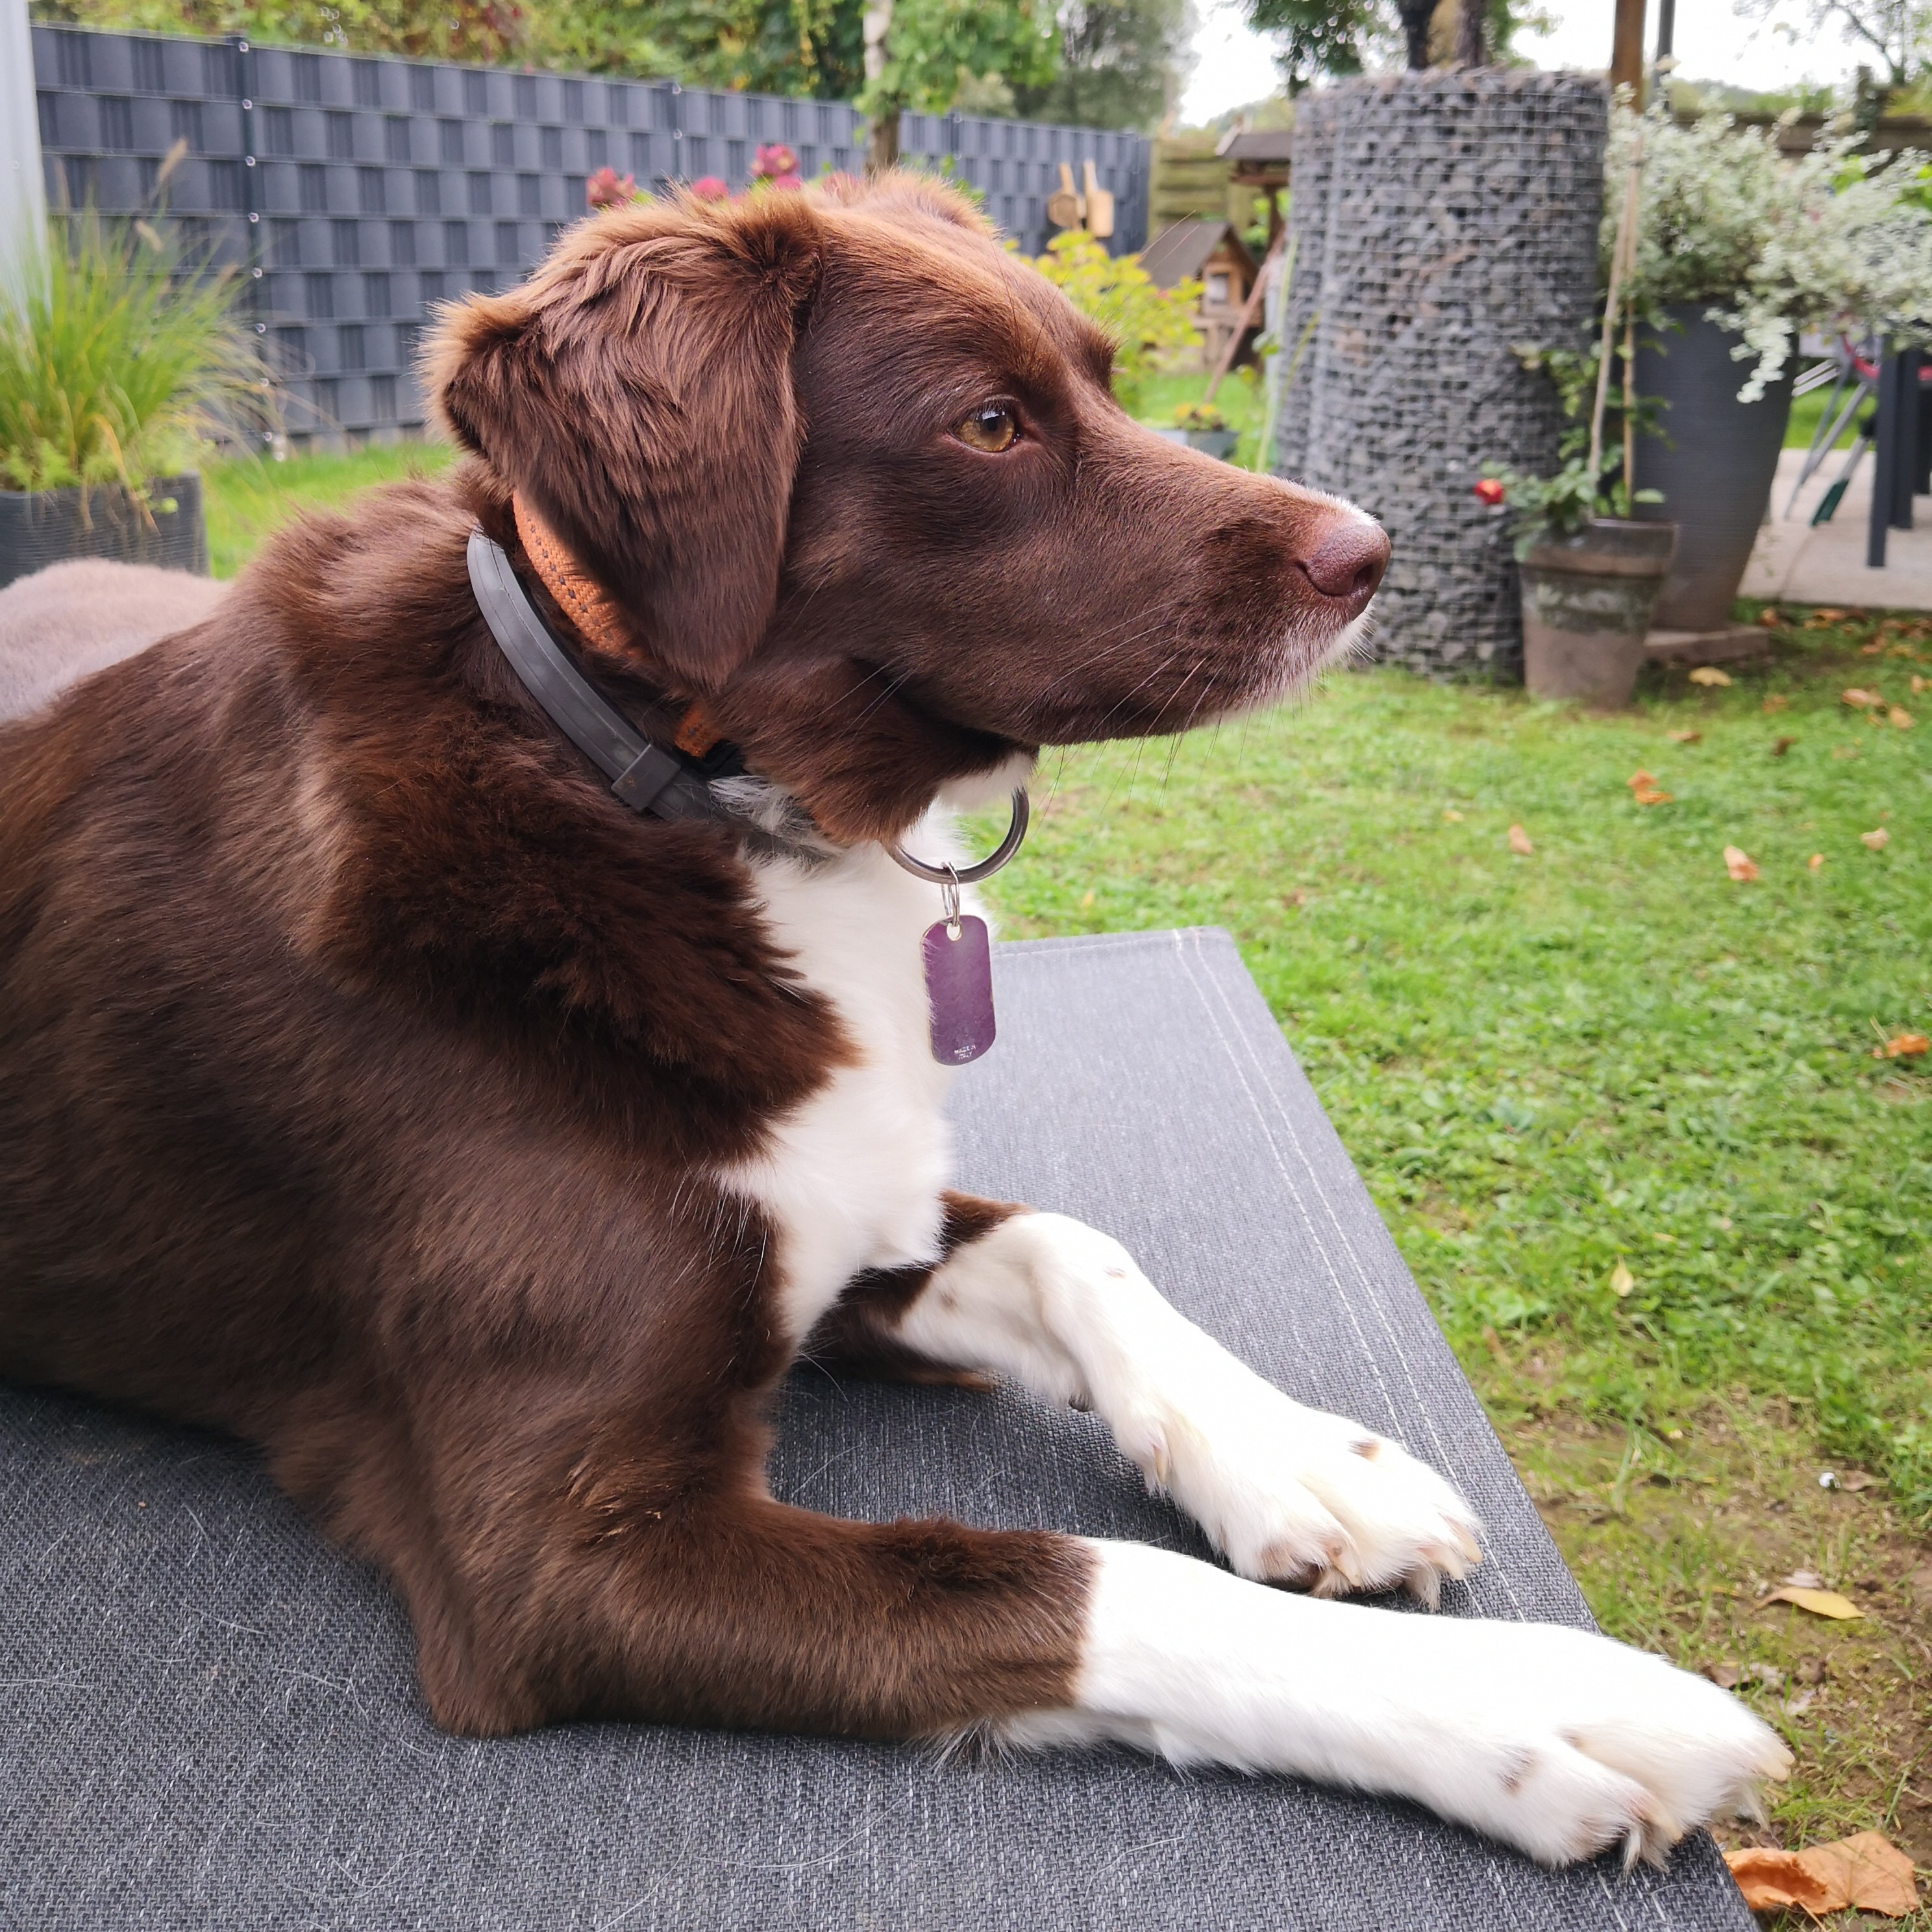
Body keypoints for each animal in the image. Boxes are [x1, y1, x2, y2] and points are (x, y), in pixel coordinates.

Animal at [0, 175, 1787, 1868]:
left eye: (1104, 377)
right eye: (987, 425)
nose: (1369, 556)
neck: (660, 781)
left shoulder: (851, 1206)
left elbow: (1075, 1244)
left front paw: (1301, 1463)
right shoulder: (559, 1558)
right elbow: (1085, 1581)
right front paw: (1534, 1703)